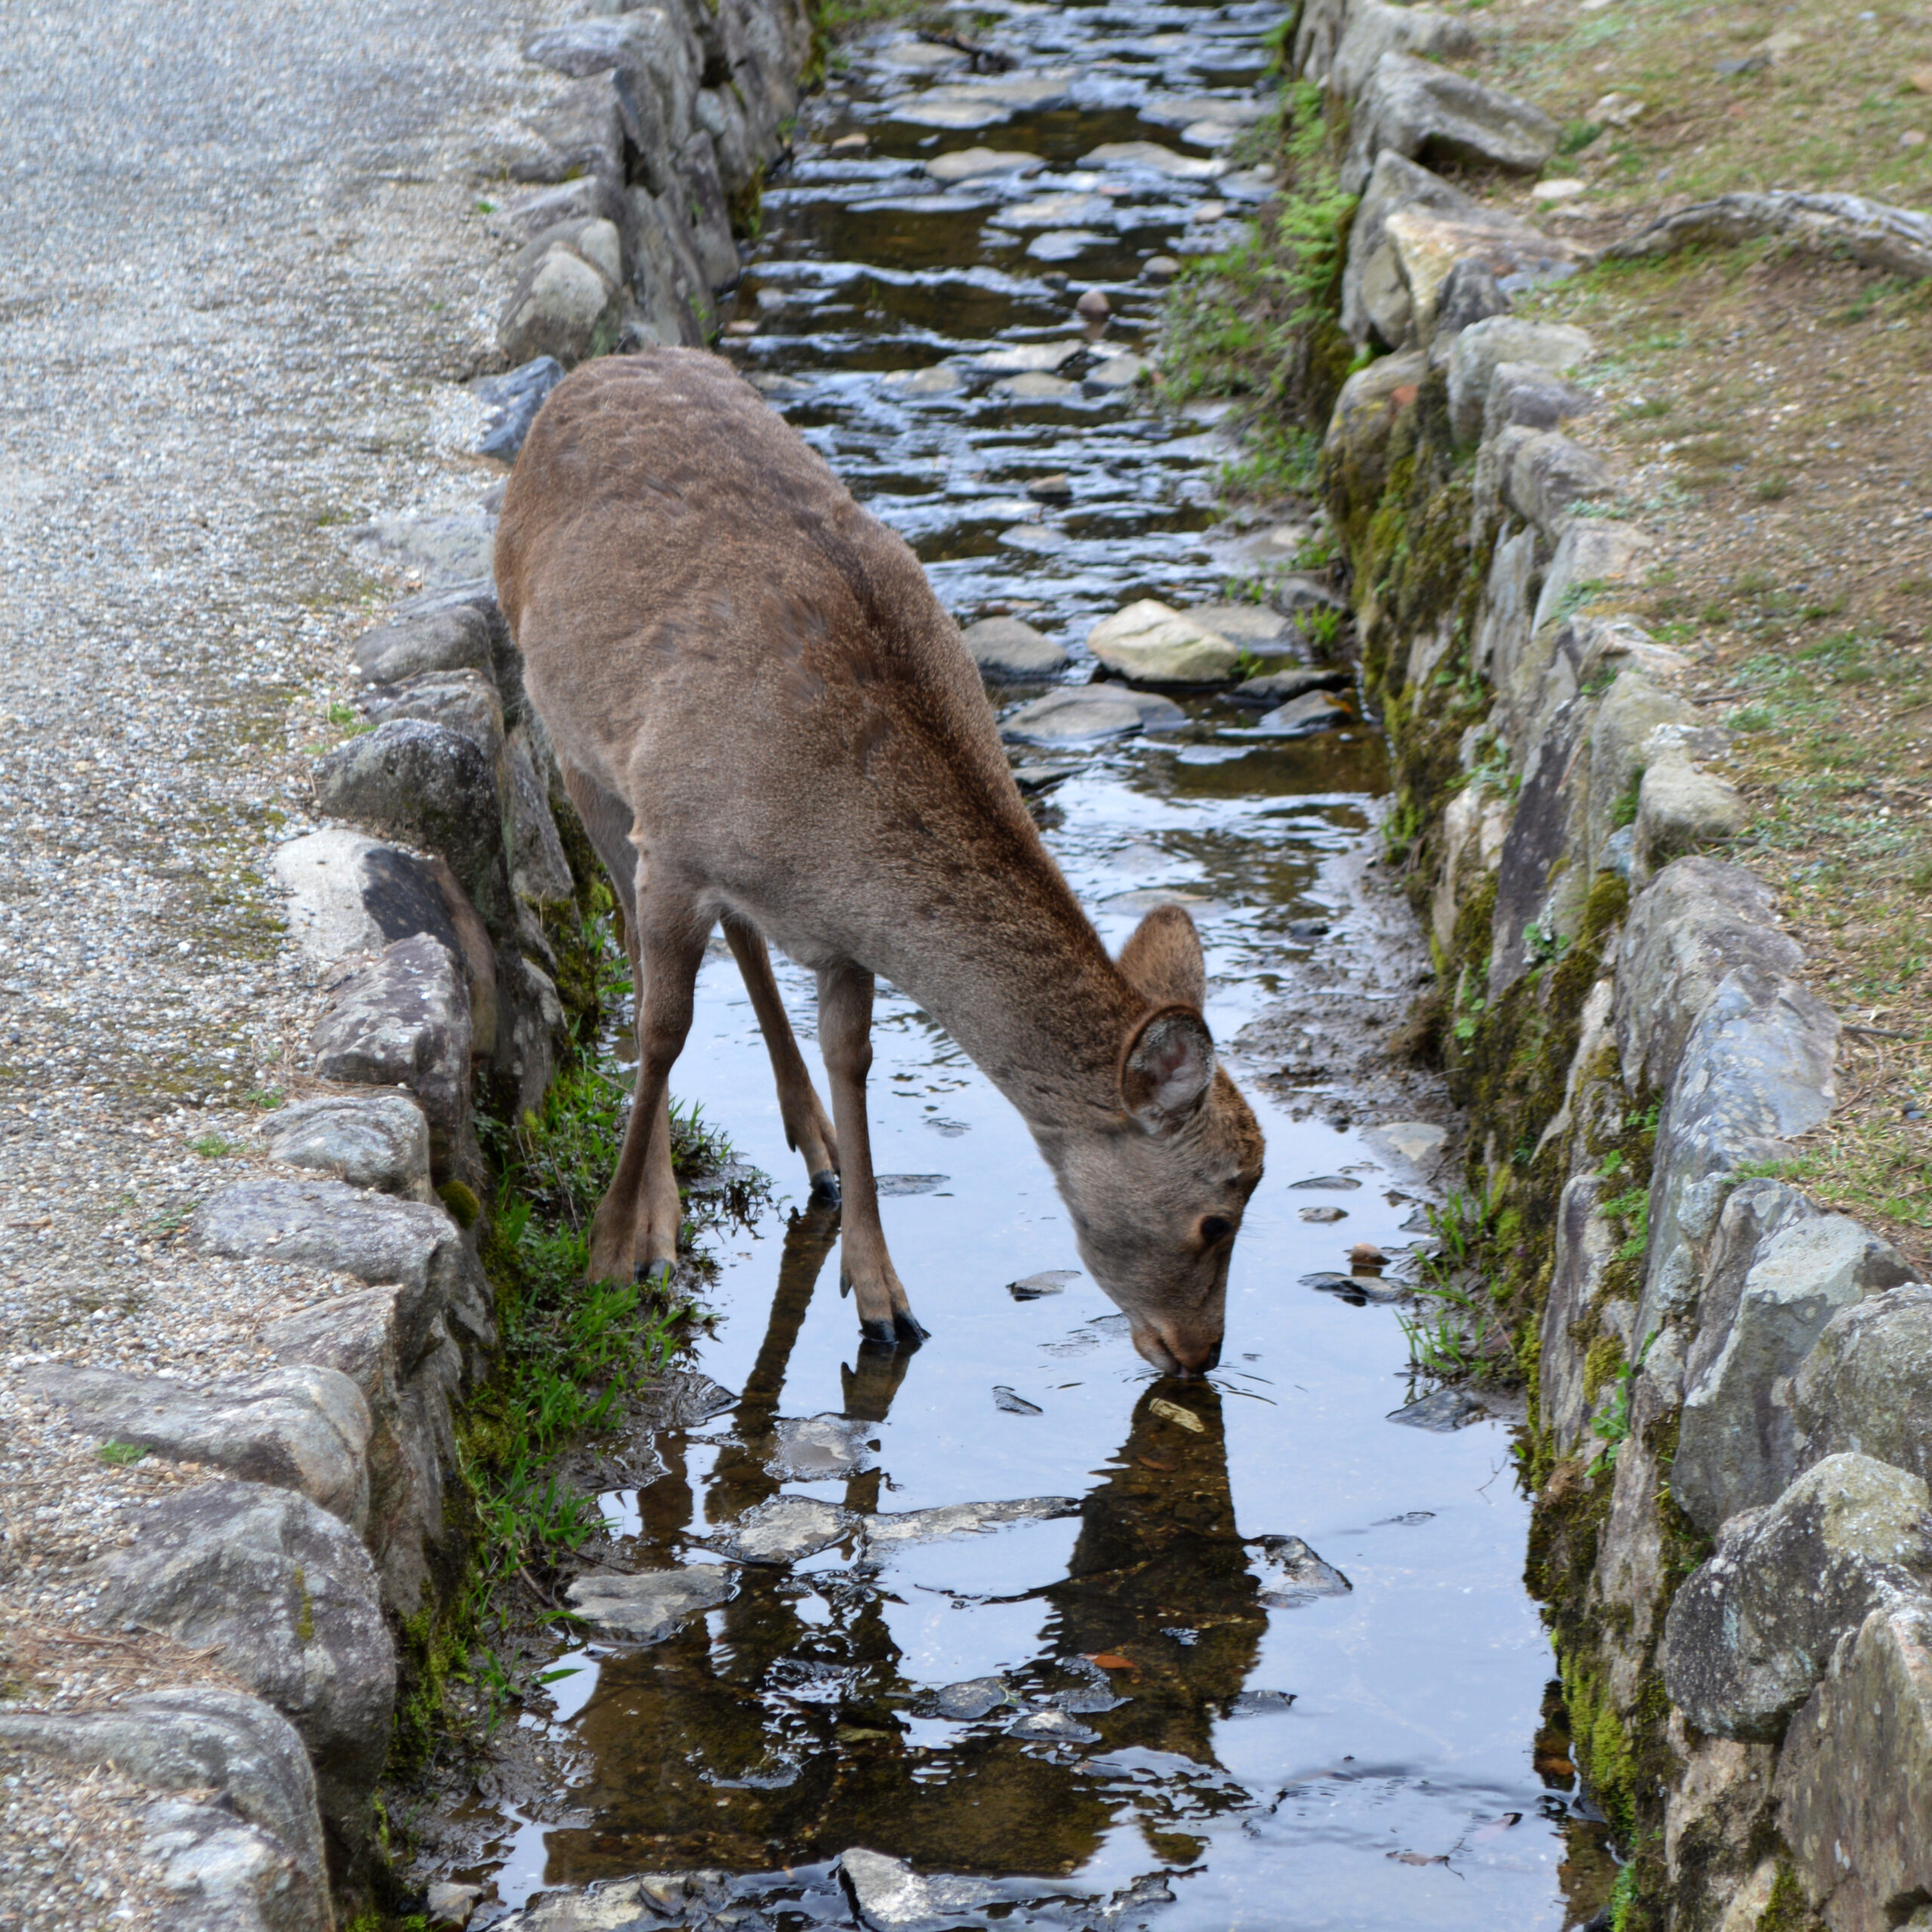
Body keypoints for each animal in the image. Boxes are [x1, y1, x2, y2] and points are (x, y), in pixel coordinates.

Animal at [494, 348, 1264, 1376]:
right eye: (1217, 1218)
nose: (1199, 1352)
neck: (830, 835)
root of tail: (586, 374)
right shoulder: (672, 845)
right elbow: (661, 1027)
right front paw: (620, 1249)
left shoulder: (835, 934)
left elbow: (852, 1058)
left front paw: (885, 1301)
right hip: (574, 744)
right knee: (633, 939)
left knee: (742, 935)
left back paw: (811, 1141)